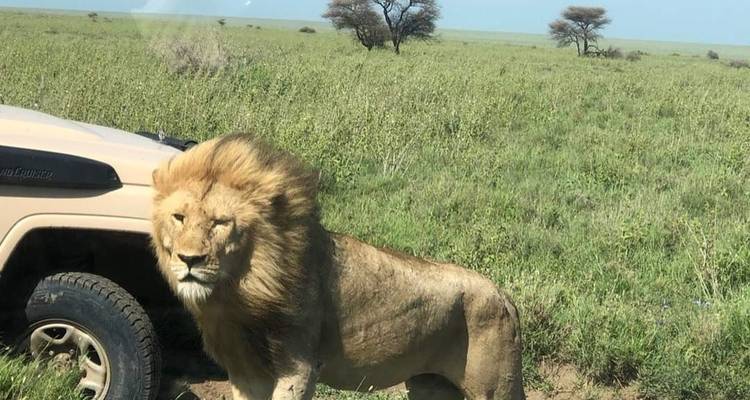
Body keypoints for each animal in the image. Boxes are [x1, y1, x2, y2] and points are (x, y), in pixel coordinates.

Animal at [150, 134, 525, 400]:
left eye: (221, 223)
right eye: (179, 217)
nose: (189, 260)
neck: (240, 292)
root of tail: (503, 294)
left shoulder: (298, 369)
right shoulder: (245, 372)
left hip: (494, 386)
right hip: (429, 385)